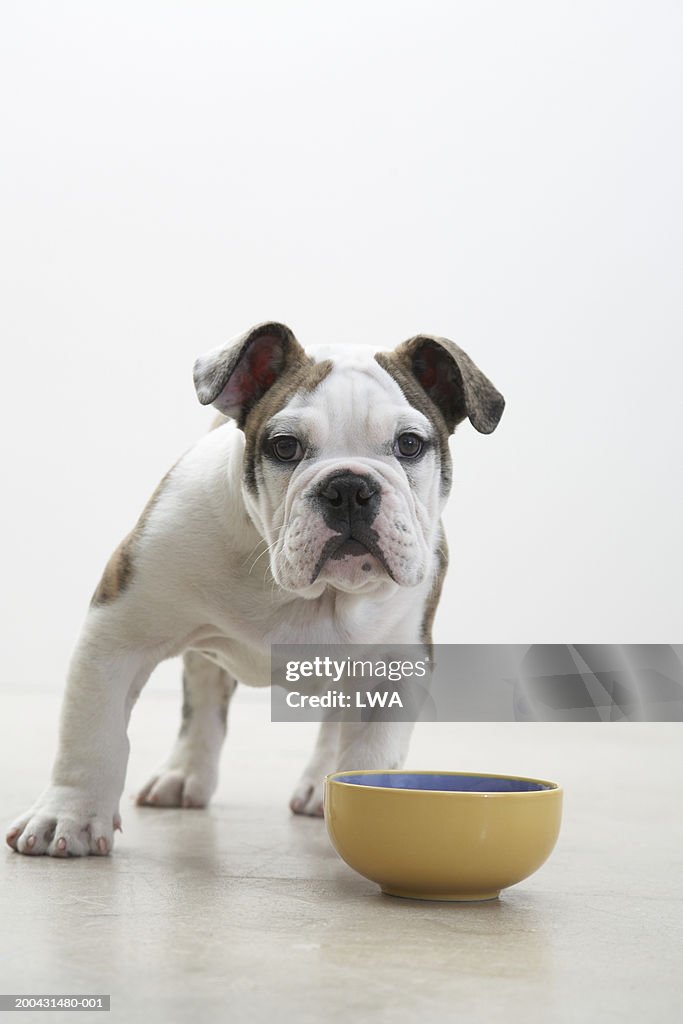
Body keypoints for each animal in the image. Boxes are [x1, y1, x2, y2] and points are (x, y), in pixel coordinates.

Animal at [7, 323, 505, 851]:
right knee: (203, 698)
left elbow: (371, 751)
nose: (349, 487)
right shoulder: (118, 633)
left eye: (409, 444)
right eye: (285, 447)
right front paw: (68, 817)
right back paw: (184, 774)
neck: (309, 593)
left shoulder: (393, 667)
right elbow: (92, 732)